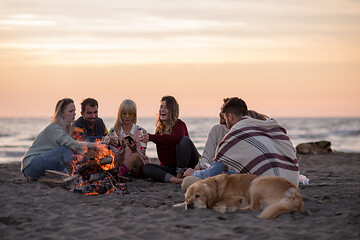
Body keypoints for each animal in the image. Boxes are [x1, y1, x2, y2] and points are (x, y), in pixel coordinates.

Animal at [174, 174, 304, 219]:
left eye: (198, 196)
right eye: (187, 198)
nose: (190, 205)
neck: (217, 186)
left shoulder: (235, 196)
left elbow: (215, 204)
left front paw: (223, 208)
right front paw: (178, 204)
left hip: (256, 182)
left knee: (254, 207)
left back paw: (240, 208)